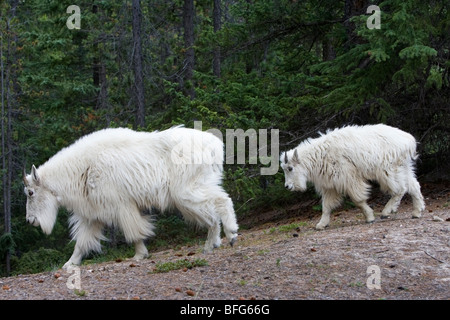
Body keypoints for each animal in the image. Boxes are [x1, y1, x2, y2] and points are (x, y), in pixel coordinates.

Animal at [23, 127, 239, 268]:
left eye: (30, 192)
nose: (30, 220)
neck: (81, 169)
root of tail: (216, 146)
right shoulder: (93, 213)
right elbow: (82, 241)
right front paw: (70, 263)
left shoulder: (120, 204)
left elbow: (133, 231)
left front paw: (139, 254)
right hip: (196, 188)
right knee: (211, 214)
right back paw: (211, 244)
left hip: (186, 190)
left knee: (221, 201)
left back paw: (231, 234)